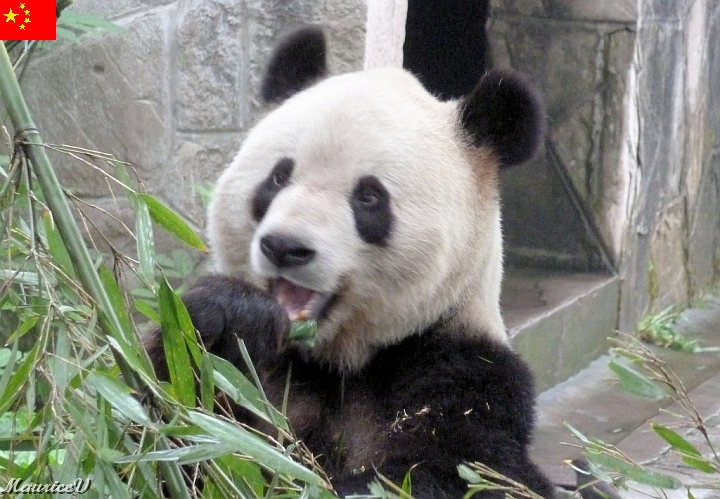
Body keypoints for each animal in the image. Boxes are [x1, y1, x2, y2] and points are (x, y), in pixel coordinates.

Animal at [144, 27, 554, 498]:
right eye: (278, 176)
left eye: (369, 197)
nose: (285, 246)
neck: (334, 358)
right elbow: (166, 419)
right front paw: (235, 315)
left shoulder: (467, 376)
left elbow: (453, 471)